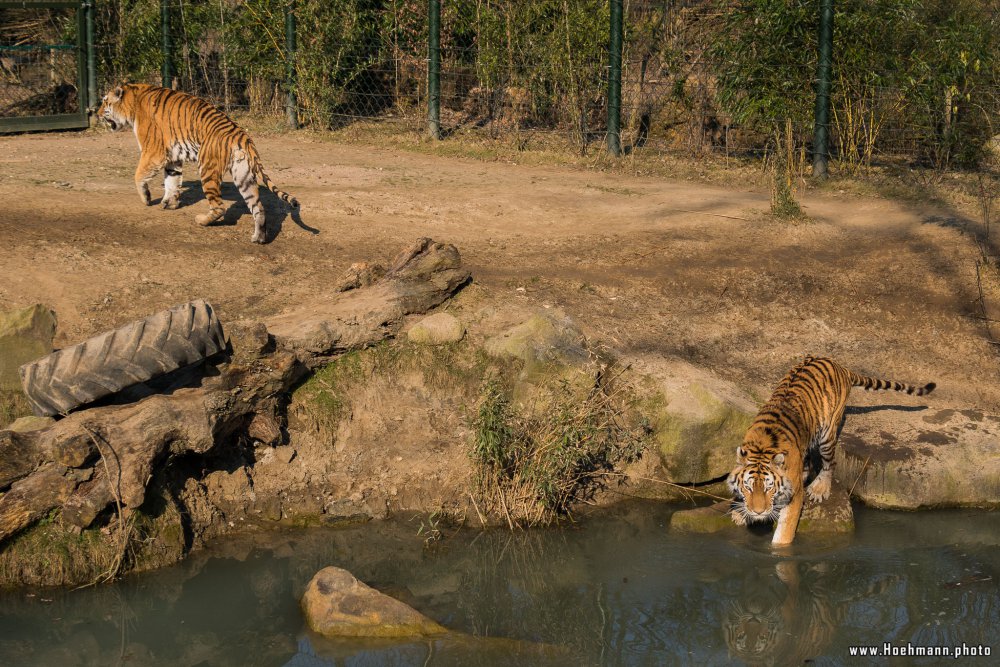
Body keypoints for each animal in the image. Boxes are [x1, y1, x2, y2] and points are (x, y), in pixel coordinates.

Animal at [99, 85, 298, 244]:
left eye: (105, 102)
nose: (97, 113)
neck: (131, 103)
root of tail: (241, 135)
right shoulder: (172, 157)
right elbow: (172, 181)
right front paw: (169, 203)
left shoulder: (153, 151)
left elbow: (139, 175)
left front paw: (146, 198)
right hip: (244, 177)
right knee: (258, 208)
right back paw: (259, 238)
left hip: (207, 168)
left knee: (219, 207)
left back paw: (201, 220)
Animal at [728, 358, 936, 544]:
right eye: (748, 487)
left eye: (769, 487)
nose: (758, 512)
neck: (762, 447)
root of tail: (840, 366)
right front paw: (740, 512)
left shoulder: (794, 497)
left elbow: (784, 532)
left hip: (827, 434)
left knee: (829, 463)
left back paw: (819, 488)